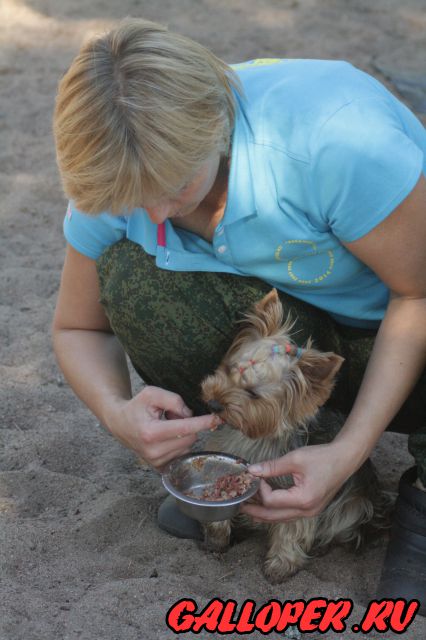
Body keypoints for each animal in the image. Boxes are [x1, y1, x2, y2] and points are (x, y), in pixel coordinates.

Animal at [200, 290, 390, 584]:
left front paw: (281, 565)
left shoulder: (293, 493)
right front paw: (217, 537)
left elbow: (293, 527)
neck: (253, 437)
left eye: (253, 394)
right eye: (229, 369)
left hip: (354, 501)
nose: (213, 404)